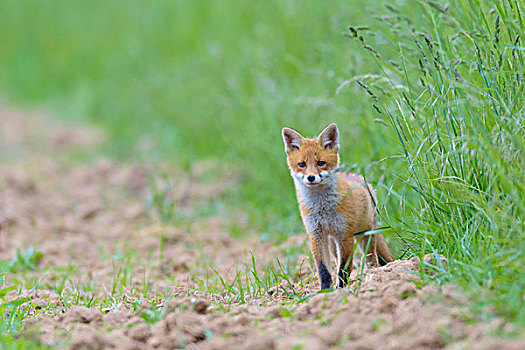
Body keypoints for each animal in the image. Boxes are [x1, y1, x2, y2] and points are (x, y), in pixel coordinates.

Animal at [282, 123, 388, 290]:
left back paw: (375, 275)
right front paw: (325, 290)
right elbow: (323, 268)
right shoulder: (316, 234)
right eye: (302, 164)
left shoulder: (344, 234)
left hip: (366, 236)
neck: (322, 208)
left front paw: (342, 288)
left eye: (320, 163)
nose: (311, 177)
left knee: (373, 260)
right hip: (333, 244)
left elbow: (344, 267)